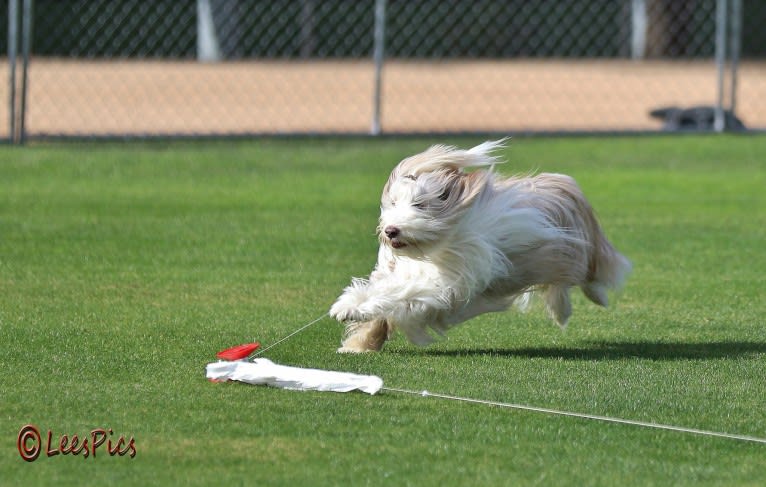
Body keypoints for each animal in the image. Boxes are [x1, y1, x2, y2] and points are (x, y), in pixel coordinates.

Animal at [332, 139, 632, 352]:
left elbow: (399, 294)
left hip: (575, 250)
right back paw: (562, 311)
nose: (391, 230)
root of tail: (566, 184)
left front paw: (348, 308)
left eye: (420, 204)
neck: (430, 249)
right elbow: (385, 301)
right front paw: (359, 341)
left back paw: (588, 300)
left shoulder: (446, 283)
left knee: (590, 274)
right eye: (393, 203)